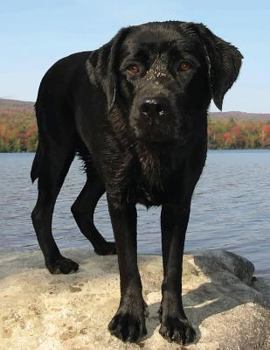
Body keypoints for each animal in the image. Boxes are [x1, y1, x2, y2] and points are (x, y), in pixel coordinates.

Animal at [31, 21, 243, 344]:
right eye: (131, 68)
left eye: (185, 66)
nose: (152, 107)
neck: (155, 150)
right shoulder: (120, 199)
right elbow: (129, 265)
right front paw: (129, 318)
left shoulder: (179, 203)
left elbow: (173, 268)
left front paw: (176, 320)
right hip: (57, 152)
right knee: (41, 211)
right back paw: (56, 261)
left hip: (99, 169)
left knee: (80, 206)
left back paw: (101, 245)